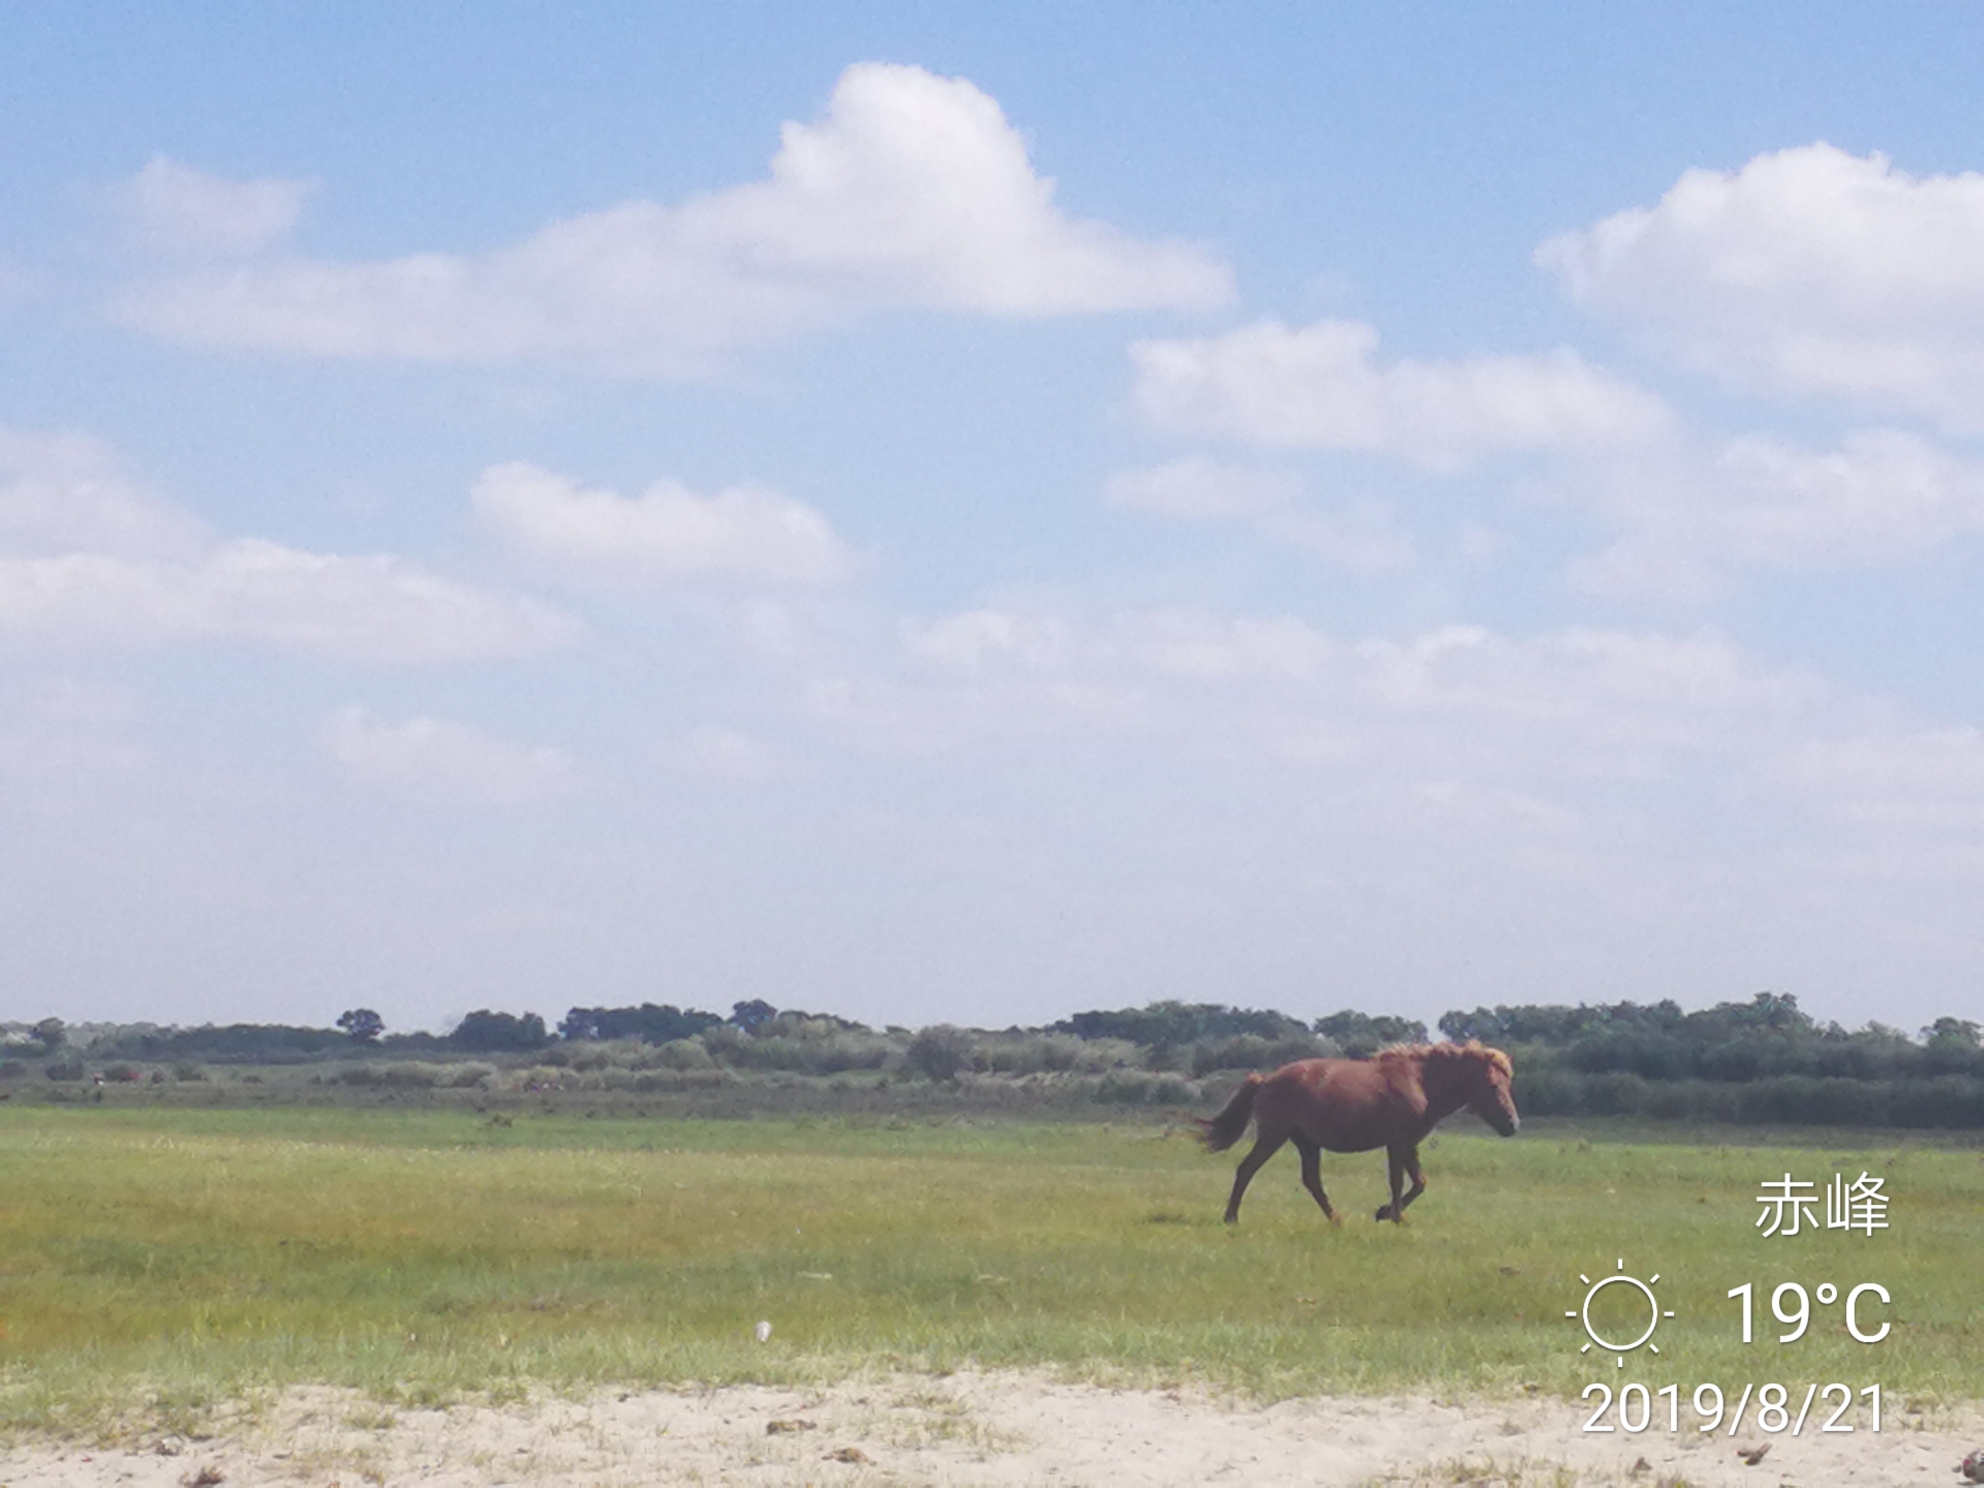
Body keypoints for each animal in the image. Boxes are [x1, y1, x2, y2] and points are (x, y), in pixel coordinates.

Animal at [1190, 1039, 1515, 1230]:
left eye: (1507, 1082)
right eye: (1493, 1085)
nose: (1513, 1123)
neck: (1419, 1081)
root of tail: (1265, 1079)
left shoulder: (1400, 1144)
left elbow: (1406, 1182)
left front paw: (1388, 1213)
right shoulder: (1402, 1142)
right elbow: (1410, 1182)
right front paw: (1393, 1216)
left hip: (1307, 1143)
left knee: (1312, 1181)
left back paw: (1336, 1219)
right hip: (1274, 1136)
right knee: (1247, 1169)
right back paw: (1231, 1218)